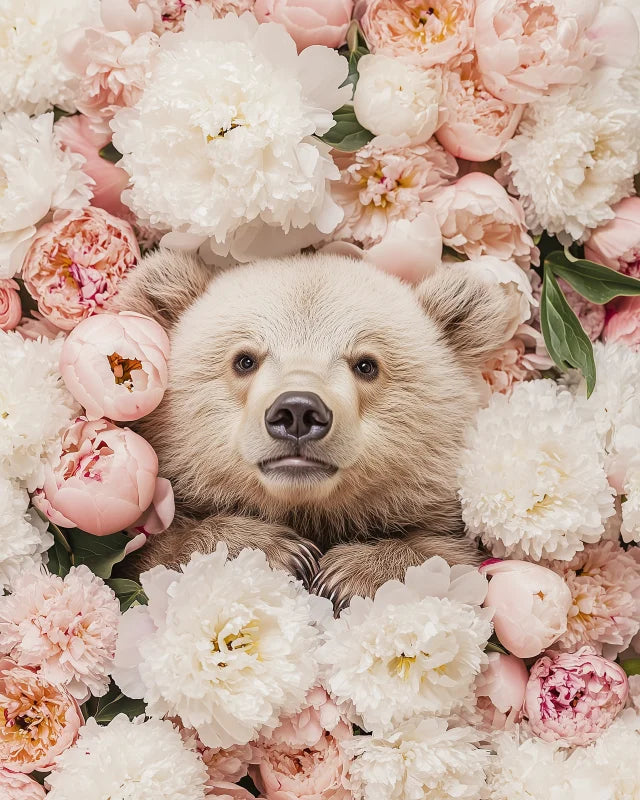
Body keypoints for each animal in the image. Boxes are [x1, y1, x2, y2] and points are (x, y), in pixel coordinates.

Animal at [116, 249, 518, 610]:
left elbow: (445, 557)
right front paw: (276, 552)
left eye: (366, 365)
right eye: (244, 360)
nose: (298, 411)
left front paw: (349, 574)